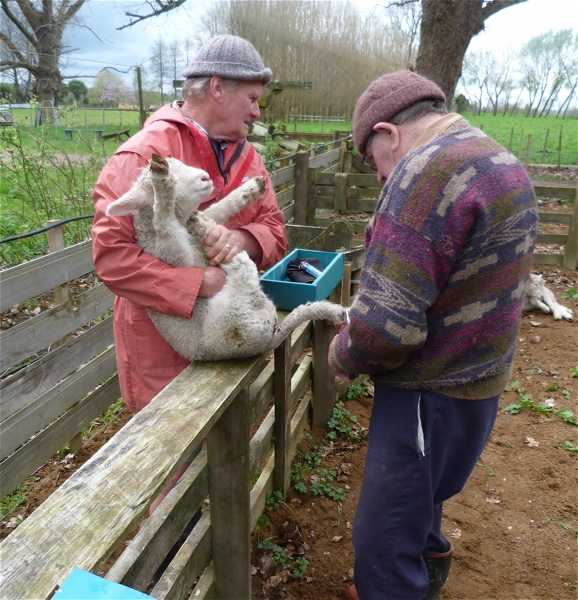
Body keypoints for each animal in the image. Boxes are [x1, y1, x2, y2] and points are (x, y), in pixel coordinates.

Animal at [106, 154, 344, 360]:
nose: (205, 177)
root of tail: (271, 336)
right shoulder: (172, 253)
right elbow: (163, 222)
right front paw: (163, 183)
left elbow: (218, 208)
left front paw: (250, 190)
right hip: (235, 317)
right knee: (243, 266)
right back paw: (206, 230)